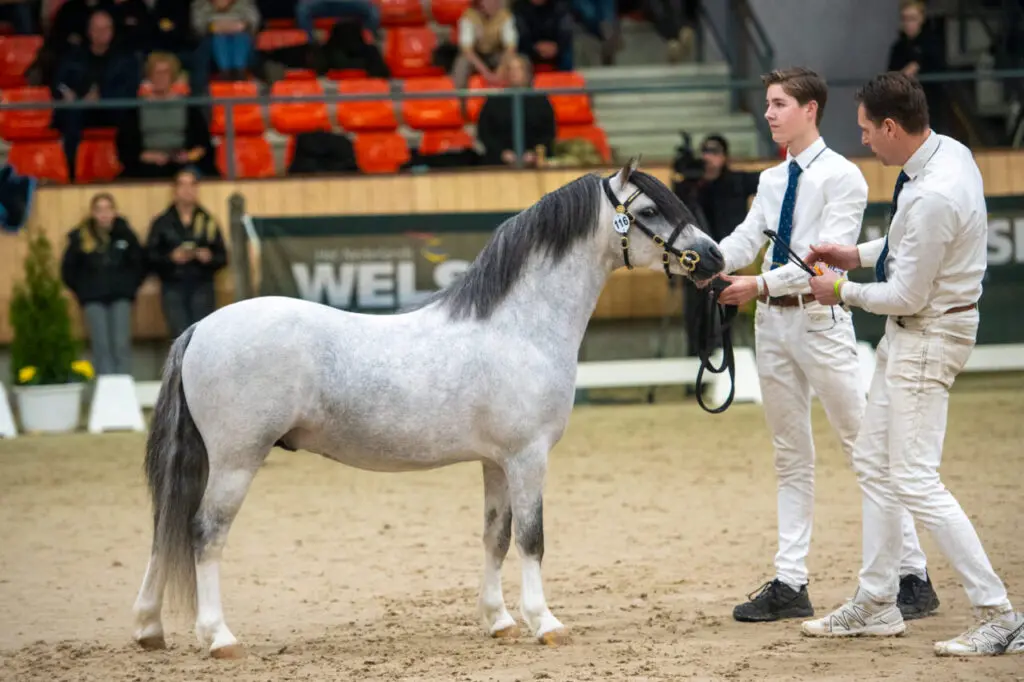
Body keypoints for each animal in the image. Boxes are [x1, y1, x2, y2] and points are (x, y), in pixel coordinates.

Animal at [131, 158, 725, 658]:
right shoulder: (528, 457)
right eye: (648, 212)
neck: (517, 327)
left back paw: (148, 629)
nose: (716, 258)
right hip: (236, 460)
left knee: (166, 528)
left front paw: (499, 621)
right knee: (205, 532)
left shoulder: (496, 463)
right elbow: (532, 539)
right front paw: (545, 622)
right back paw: (218, 637)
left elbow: (496, 537)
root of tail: (202, 327)